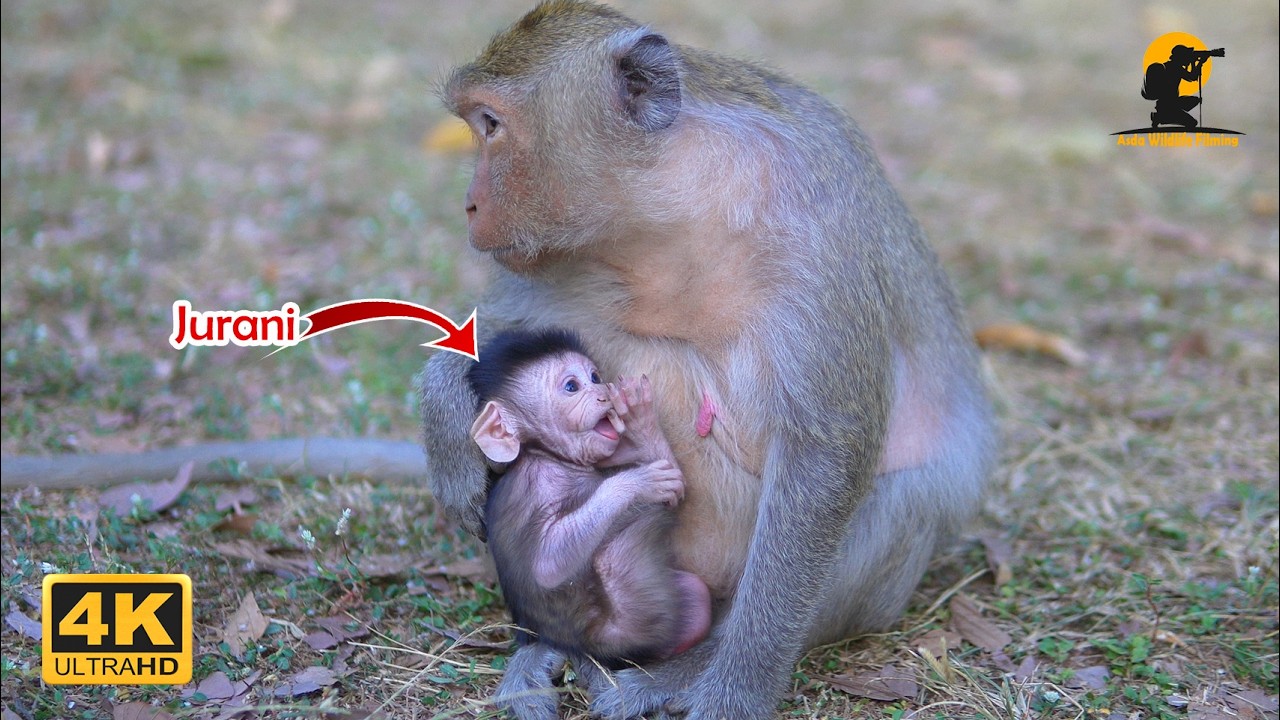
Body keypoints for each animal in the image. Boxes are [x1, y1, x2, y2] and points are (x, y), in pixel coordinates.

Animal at [467, 327, 710, 679]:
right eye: (572, 386)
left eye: (595, 377)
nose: (603, 393)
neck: (551, 456)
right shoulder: (536, 484)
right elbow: (548, 567)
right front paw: (638, 482)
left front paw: (641, 423)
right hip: (622, 628)